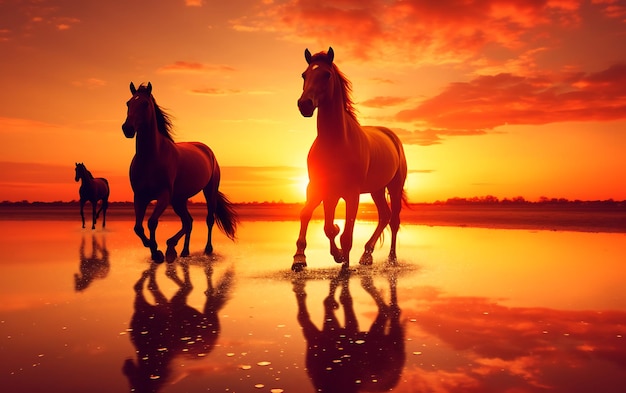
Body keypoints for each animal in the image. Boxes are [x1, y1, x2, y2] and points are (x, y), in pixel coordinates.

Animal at [121, 81, 236, 262]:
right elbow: (138, 227)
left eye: (145, 104)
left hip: (208, 191)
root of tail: (207, 150)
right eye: (128, 103)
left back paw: (205, 249)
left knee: (208, 219)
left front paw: (157, 251)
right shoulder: (139, 196)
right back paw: (182, 250)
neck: (151, 157)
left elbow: (152, 222)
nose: (127, 129)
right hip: (179, 199)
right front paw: (155, 250)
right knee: (188, 222)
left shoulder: (164, 195)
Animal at [294, 47, 410, 272]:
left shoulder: (351, 194)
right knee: (384, 215)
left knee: (393, 220)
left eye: (326, 75)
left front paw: (344, 264)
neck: (336, 142)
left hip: (394, 186)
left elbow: (346, 234)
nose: (304, 105)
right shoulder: (322, 189)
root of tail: (391, 137)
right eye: (304, 75)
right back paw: (366, 255)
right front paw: (301, 259)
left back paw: (391, 259)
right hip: (376, 189)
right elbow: (320, 222)